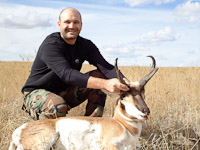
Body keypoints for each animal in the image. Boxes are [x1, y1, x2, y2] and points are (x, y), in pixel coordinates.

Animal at [9, 55, 159, 149]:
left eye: (143, 92)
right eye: (123, 94)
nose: (145, 111)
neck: (121, 124)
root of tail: (19, 130)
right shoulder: (109, 146)